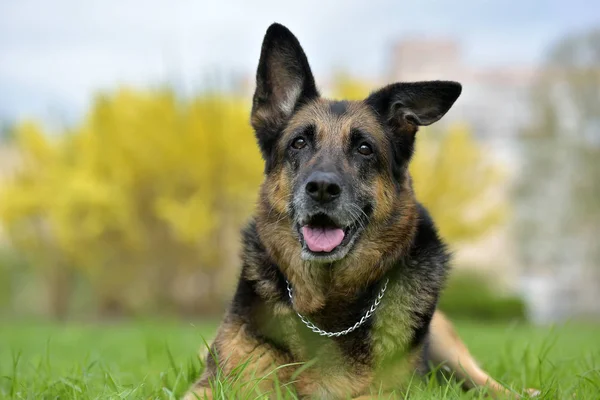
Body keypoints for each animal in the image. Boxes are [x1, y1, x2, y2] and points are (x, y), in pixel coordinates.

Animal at [185, 24, 536, 400]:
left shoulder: (391, 391)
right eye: (299, 143)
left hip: (450, 348)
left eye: (365, 149)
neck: (327, 309)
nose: (322, 188)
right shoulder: (212, 385)